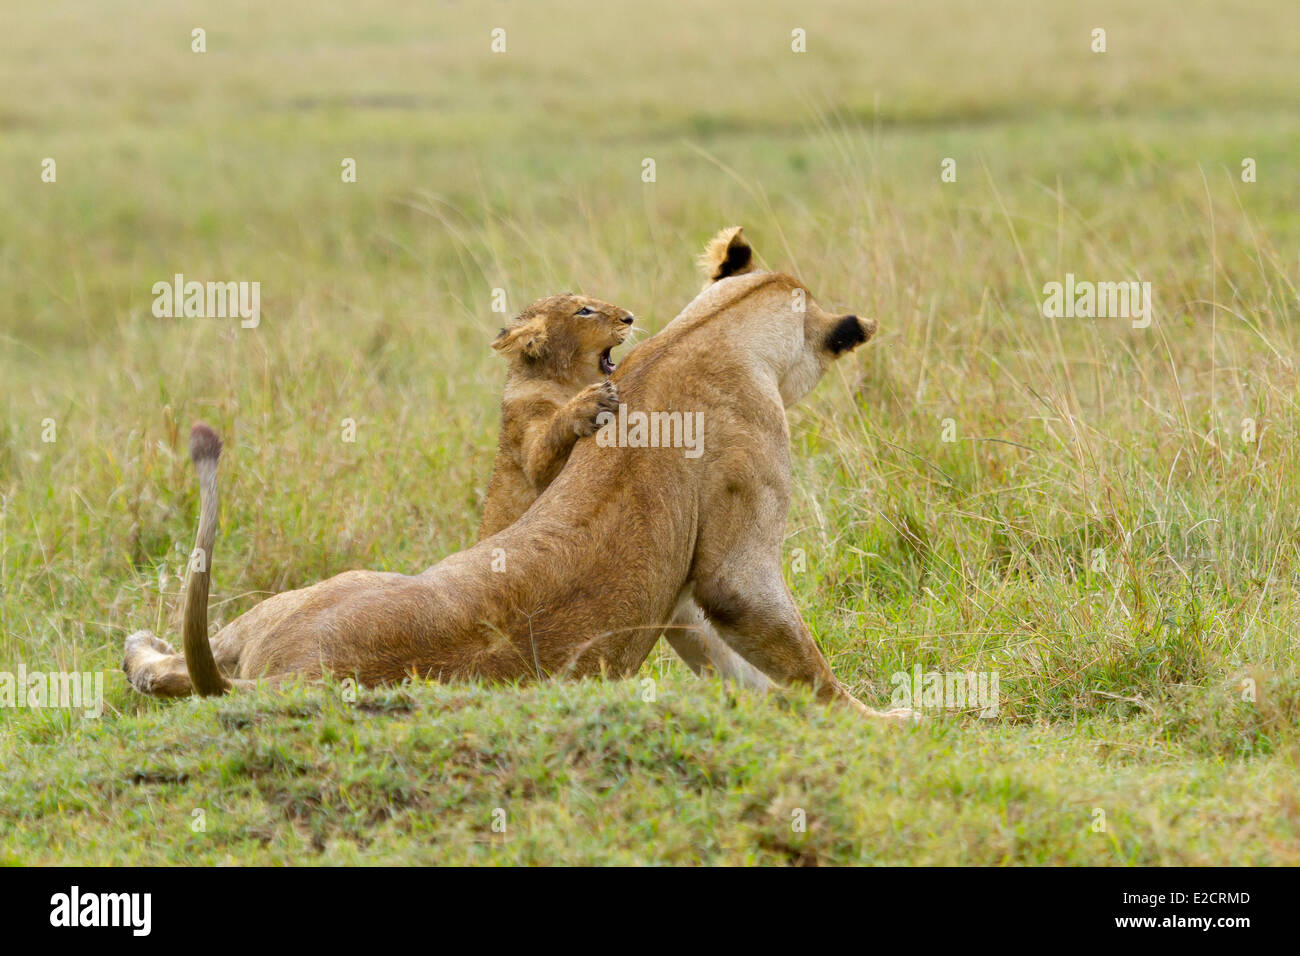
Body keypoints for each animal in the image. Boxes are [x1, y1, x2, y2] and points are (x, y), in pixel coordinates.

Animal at [123, 227, 911, 721]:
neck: (711, 330)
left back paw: (143, 650)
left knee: (173, 670)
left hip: (286, 604)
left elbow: (738, 665)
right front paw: (883, 719)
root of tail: (287, 679)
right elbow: (798, 658)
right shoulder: (734, 567)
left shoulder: (681, 602)